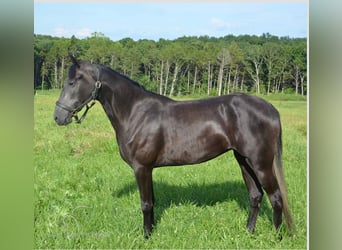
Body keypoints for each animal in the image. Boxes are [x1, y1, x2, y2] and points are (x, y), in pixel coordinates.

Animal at [54, 56, 294, 238]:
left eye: (73, 82)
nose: (58, 116)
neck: (136, 112)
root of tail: (270, 108)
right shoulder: (148, 169)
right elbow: (152, 201)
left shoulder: (142, 168)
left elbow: (146, 204)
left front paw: (146, 237)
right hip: (243, 161)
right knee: (255, 196)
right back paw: (248, 232)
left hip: (261, 163)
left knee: (276, 198)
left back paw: (277, 237)